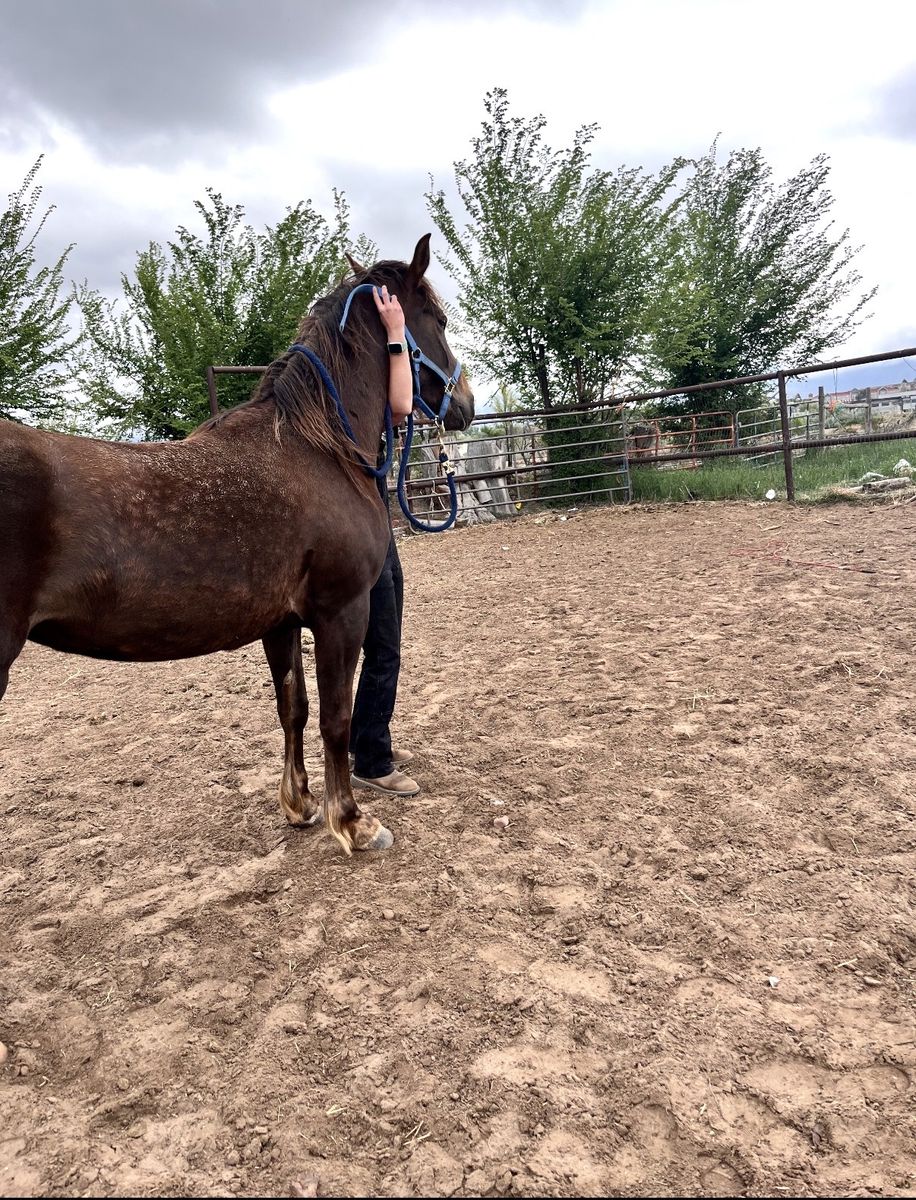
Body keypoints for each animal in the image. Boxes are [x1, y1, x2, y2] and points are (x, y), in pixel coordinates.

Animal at [0, 234, 475, 855]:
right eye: (437, 319)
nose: (466, 403)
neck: (319, 449)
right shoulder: (341, 612)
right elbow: (336, 717)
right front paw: (352, 822)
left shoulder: (280, 622)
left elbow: (293, 707)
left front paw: (300, 805)